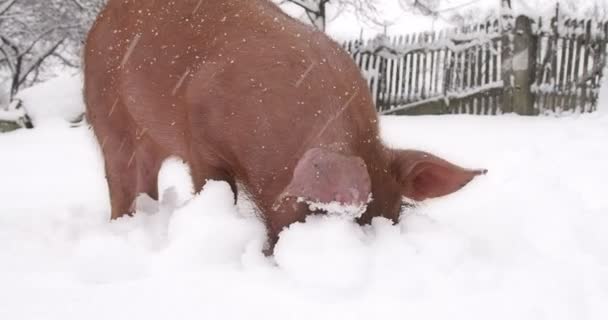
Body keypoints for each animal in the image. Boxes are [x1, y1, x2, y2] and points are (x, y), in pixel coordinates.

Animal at [84, 0, 484, 251]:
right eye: (317, 211)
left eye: (395, 214)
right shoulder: (200, 142)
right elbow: (215, 187)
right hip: (106, 113)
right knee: (119, 178)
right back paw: (122, 223)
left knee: (147, 178)